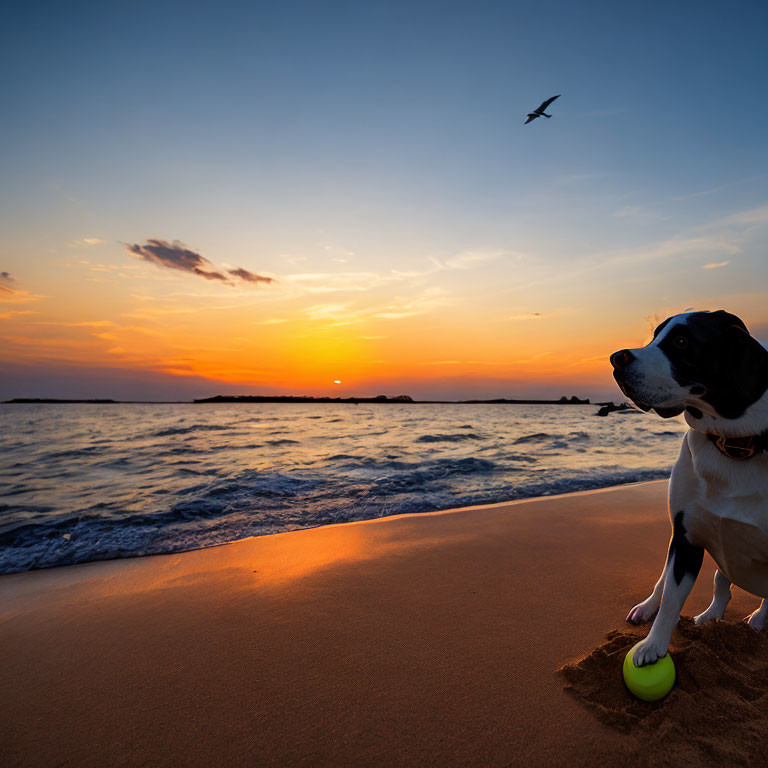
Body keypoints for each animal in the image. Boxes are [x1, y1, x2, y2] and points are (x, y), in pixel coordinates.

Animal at [612, 312, 768, 664]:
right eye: (654, 336)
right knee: (711, 587)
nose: (616, 359)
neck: (733, 444)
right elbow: (671, 600)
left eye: (682, 342)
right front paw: (653, 645)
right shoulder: (685, 537)